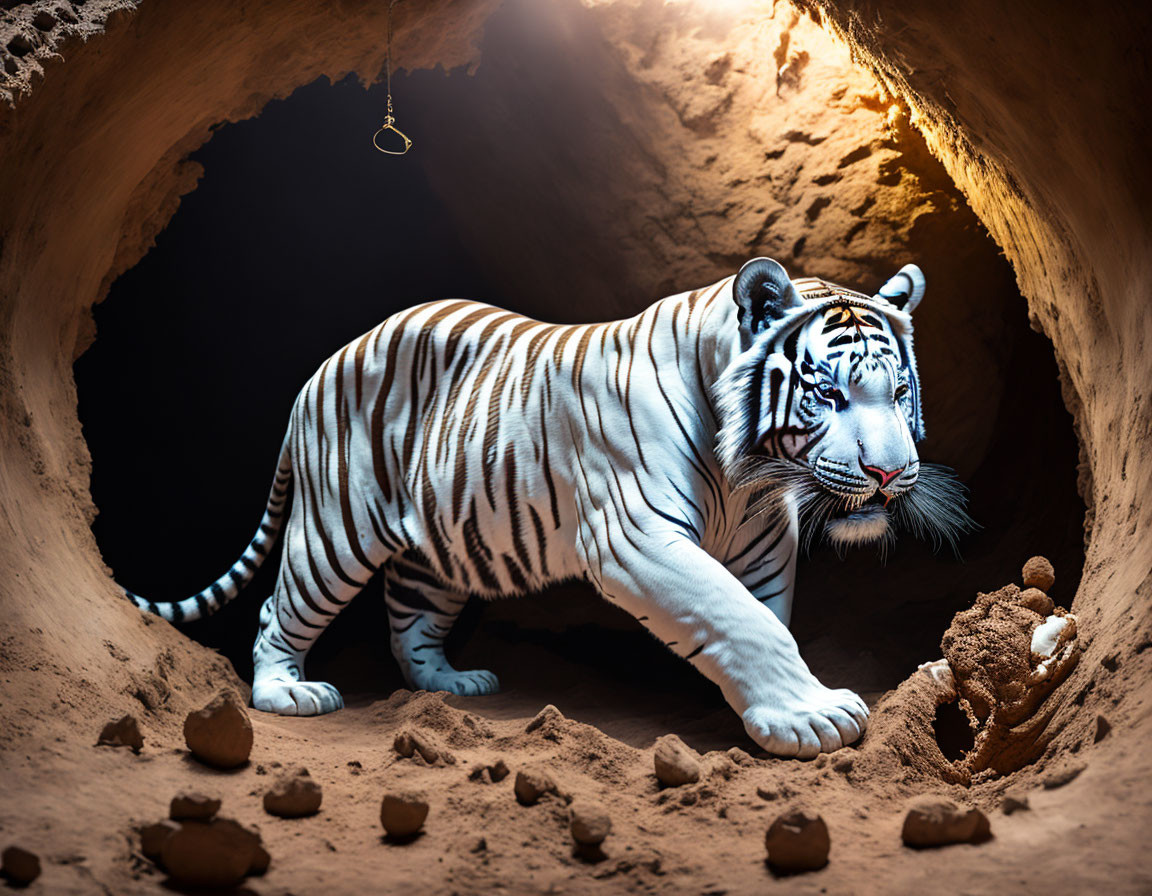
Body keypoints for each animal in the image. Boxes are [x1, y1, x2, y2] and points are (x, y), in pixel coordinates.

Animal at [126, 256, 972, 755]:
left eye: (899, 390)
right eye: (827, 393)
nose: (891, 473)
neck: (752, 477)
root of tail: (323, 366)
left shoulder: (766, 546)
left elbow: (763, 619)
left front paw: (777, 712)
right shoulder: (637, 537)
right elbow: (741, 620)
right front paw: (811, 718)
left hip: (439, 543)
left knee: (409, 616)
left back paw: (448, 684)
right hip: (335, 528)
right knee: (282, 607)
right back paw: (286, 692)